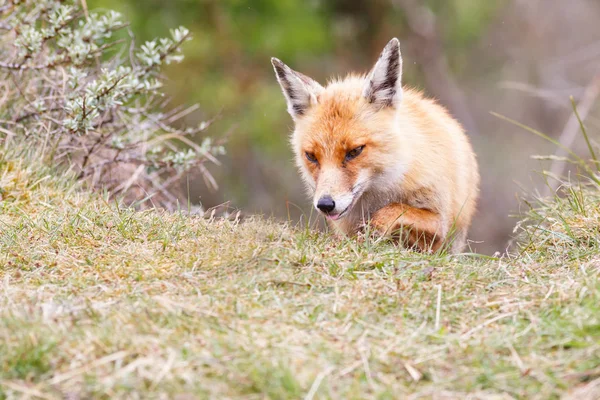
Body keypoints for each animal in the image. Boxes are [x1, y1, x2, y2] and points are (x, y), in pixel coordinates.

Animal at [274, 37, 480, 253]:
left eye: (355, 151)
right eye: (311, 156)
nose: (325, 204)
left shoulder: (440, 223)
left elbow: (392, 211)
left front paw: (373, 231)